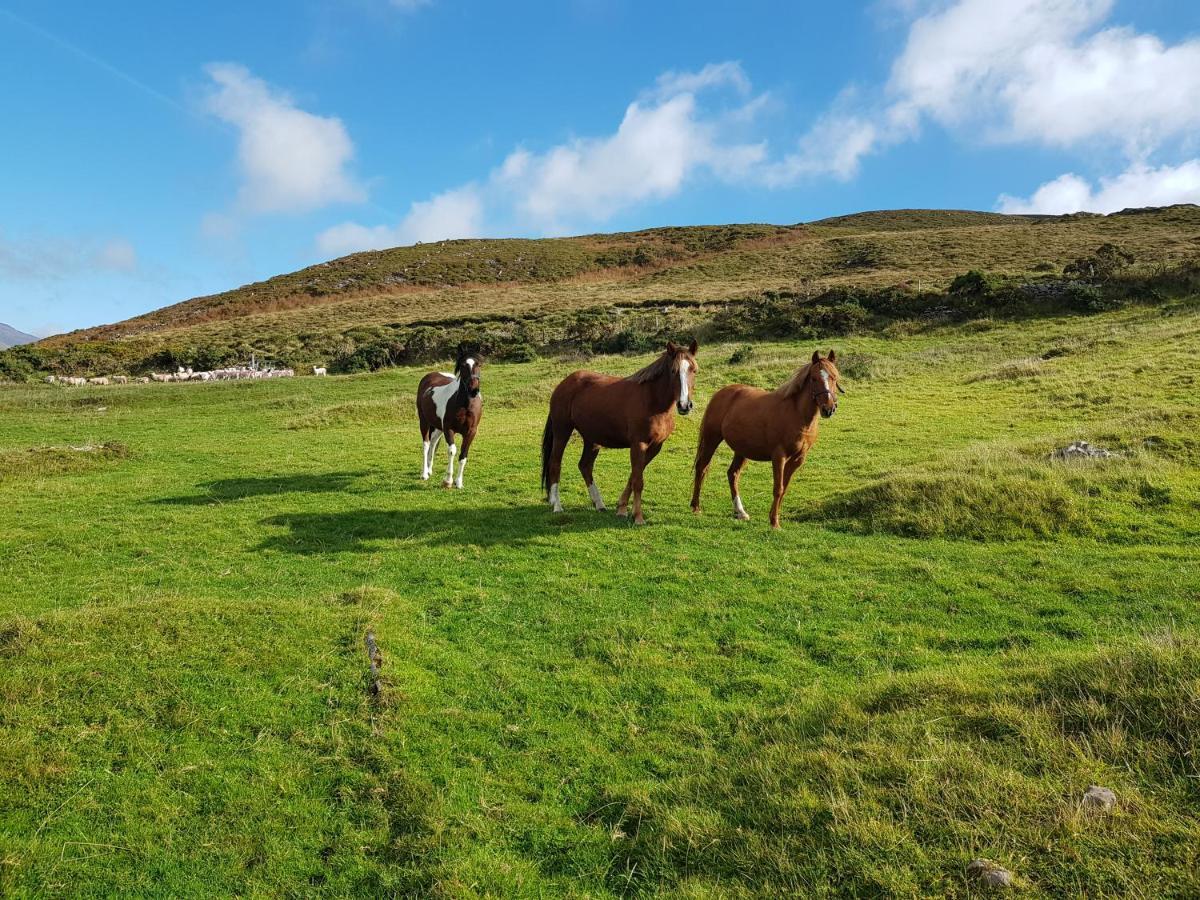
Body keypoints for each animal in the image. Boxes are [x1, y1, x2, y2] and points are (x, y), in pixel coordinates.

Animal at [417, 355, 482, 494]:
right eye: (463, 366)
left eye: (479, 365)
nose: (473, 390)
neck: (465, 405)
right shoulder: (449, 430)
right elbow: (452, 451)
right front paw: (448, 481)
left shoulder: (471, 432)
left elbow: (463, 455)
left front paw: (459, 483)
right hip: (424, 422)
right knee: (426, 444)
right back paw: (424, 474)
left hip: (437, 427)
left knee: (433, 443)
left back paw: (429, 470)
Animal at [542, 340, 700, 525]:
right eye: (673, 371)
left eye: (694, 370)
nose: (684, 405)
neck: (652, 401)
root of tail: (563, 384)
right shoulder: (638, 444)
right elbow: (638, 481)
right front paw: (637, 516)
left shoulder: (655, 447)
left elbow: (633, 476)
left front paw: (622, 508)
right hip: (562, 431)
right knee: (555, 464)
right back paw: (557, 506)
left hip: (591, 439)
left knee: (585, 466)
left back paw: (599, 504)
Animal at [691, 352, 849, 532]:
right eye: (814, 378)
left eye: (834, 377)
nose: (828, 409)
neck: (796, 414)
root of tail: (721, 393)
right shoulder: (779, 456)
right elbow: (778, 489)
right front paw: (774, 523)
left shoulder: (798, 459)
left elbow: (784, 489)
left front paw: (774, 518)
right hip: (711, 439)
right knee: (701, 468)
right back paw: (696, 507)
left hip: (742, 449)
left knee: (733, 474)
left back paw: (740, 512)